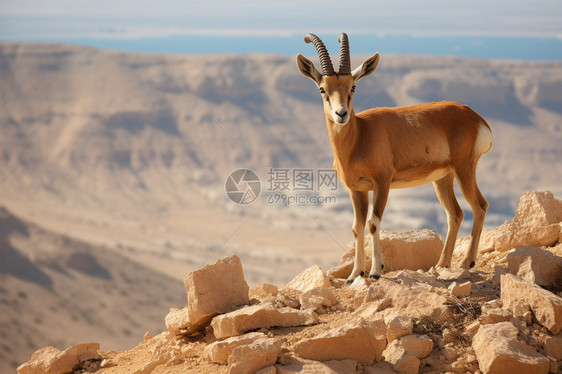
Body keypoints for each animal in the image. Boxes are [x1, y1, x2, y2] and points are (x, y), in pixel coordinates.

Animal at [296, 34, 492, 284]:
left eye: (353, 86)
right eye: (323, 89)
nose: (341, 114)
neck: (360, 136)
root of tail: (476, 118)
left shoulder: (382, 183)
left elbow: (373, 223)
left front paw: (375, 271)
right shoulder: (357, 190)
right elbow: (357, 227)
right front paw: (354, 275)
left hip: (464, 169)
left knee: (480, 206)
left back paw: (467, 262)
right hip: (443, 178)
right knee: (455, 214)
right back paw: (441, 265)